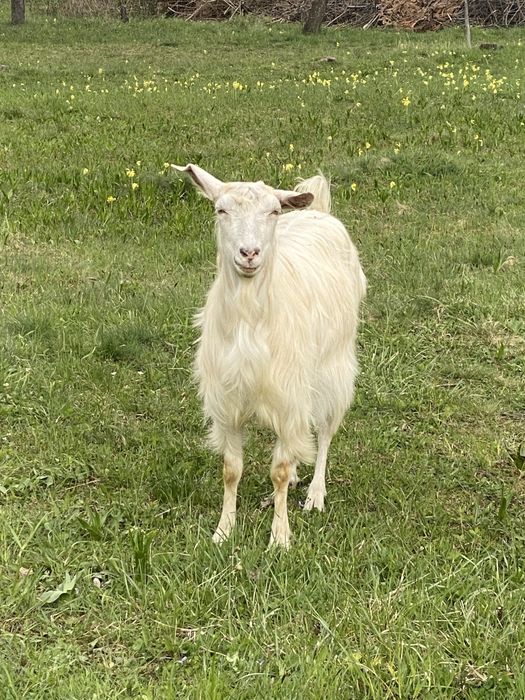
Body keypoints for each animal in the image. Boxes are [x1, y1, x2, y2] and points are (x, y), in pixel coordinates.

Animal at [174, 163, 366, 548]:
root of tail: (318, 211)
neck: (249, 324)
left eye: (273, 212)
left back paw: (315, 494)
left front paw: (280, 537)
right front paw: (223, 530)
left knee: (325, 429)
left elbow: (277, 470)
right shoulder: (228, 402)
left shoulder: (288, 395)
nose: (249, 253)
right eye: (221, 209)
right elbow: (231, 470)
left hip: (334, 367)